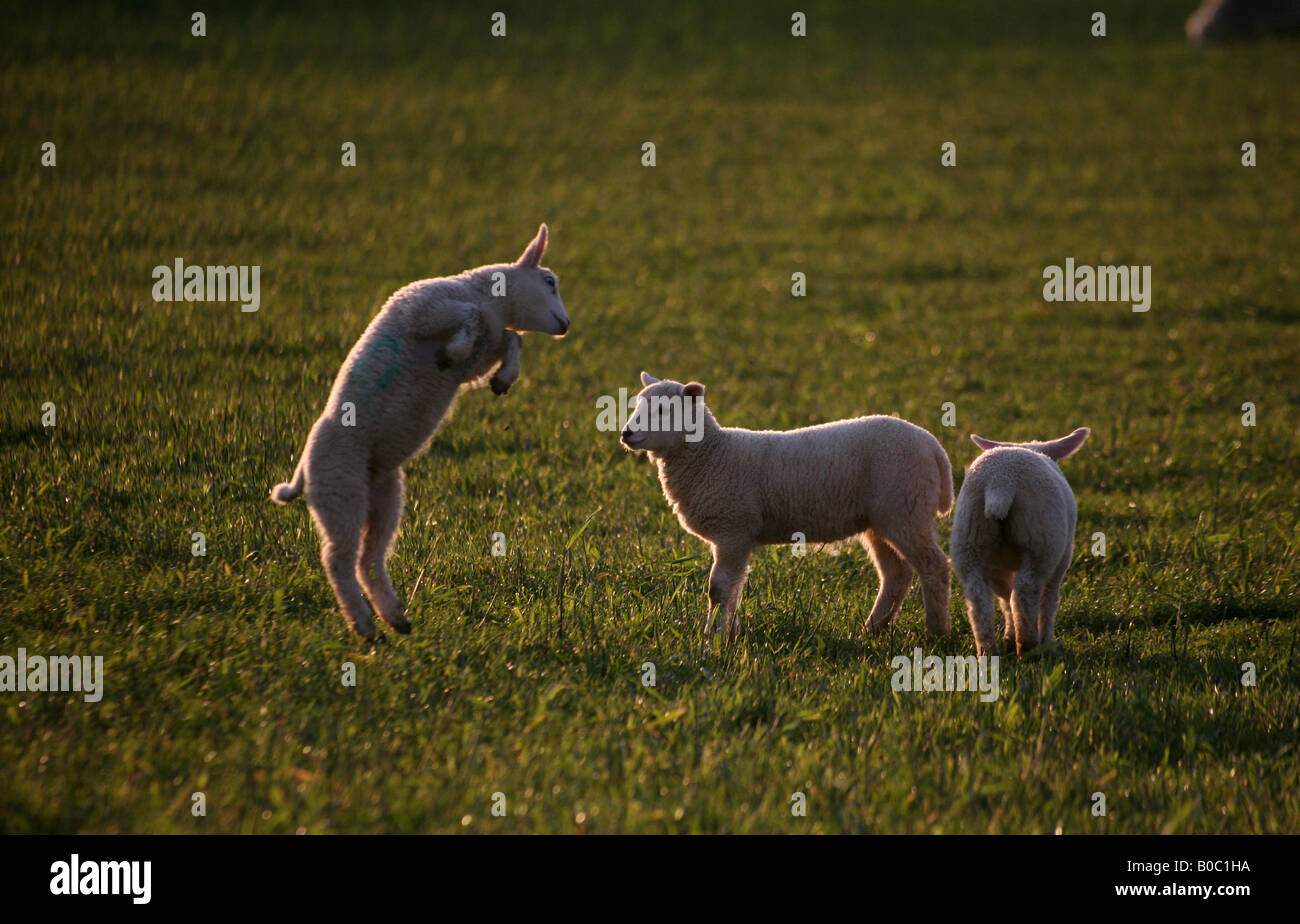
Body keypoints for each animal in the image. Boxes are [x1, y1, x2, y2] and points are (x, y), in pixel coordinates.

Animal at [269, 227, 569, 639]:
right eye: (550, 282)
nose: (566, 325)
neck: (487, 295)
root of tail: (302, 469)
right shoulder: (424, 310)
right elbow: (473, 318)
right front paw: (452, 352)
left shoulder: (481, 357)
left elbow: (512, 339)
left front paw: (503, 379)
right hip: (340, 488)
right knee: (338, 560)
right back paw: (364, 624)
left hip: (384, 495)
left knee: (369, 559)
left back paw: (394, 618)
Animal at [613, 371, 951, 639]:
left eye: (662, 410)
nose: (626, 433)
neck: (712, 455)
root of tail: (933, 446)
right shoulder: (736, 534)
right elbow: (734, 588)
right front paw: (730, 634)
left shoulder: (733, 528)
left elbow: (718, 588)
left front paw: (713, 639)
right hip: (881, 520)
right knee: (896, 574)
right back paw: (872, 630)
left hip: (906, 509)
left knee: (934, 566)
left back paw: (936, 632)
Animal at [951, 426, 1092, 657]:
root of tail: (1001, 482)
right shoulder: (1062, 559)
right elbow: (1049, 601)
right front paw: (1048, 641)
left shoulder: (997, 566)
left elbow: (1004, 598)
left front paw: (1009, 636)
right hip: (1040, 538)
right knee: (1026, 589)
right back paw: (1029, 647)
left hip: (970, 536)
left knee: (979, 597)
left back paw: (988, 651)